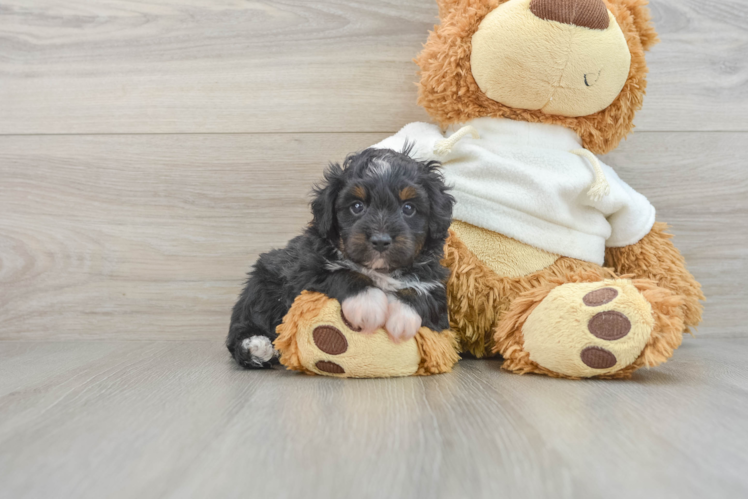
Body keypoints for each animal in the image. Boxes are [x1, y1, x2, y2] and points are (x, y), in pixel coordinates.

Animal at [225, 146, 452, 370]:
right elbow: (342, 272)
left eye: (409, 208)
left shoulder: (435, 282)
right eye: (357, 206)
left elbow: (424, 292)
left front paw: (403, 316)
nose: (380, 240)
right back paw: (256, 346)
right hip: (261, 285)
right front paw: (367, 303)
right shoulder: (305, 271)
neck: (379, 270)